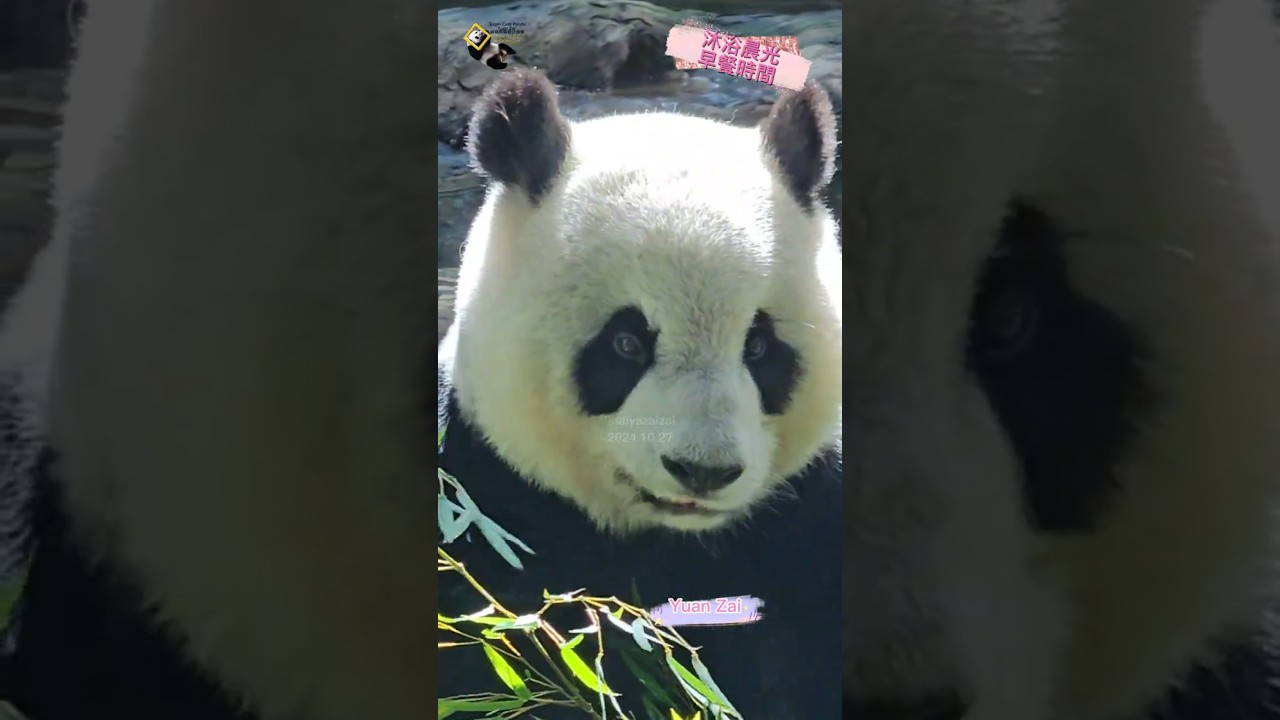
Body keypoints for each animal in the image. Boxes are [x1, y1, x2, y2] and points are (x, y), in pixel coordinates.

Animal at [435, 69, 844, 718]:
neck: (664, 542)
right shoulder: (484, 504)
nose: (703, 472)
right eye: (626, 343)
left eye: (759, 348)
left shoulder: (808, 525)